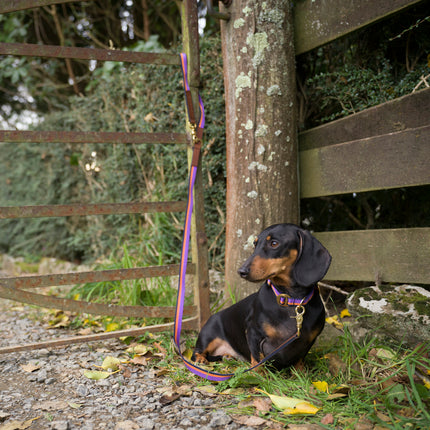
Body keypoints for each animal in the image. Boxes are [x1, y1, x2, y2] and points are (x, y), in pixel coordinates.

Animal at [192, 223, 332, 368]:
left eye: (274, 243)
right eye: (255, 244)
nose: (241, 271)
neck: (290, 299)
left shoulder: (308, 340)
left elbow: (299, 360)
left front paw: (300, 372)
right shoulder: (253, 333)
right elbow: (257, 360)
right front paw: (258, 373)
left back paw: (227, 357)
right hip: (208, 336)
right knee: (196, 352)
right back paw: (201, 360)